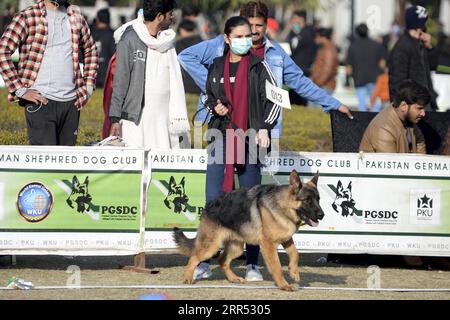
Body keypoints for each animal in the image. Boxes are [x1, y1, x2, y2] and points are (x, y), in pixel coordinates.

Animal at [172, 171, 324, 292]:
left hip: (236, 248)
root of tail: (208, 206)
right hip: (211, 247)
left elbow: (295, 253)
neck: (283, 206)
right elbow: (277, 267)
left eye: (318, 199)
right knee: (194, 258)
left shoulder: (286, 239)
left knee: (222, 260)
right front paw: (284, 285)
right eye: (307, 200)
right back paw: (188, 278)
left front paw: (294, 271)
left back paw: (233, 278)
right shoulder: (269, 245)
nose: (322, 215)